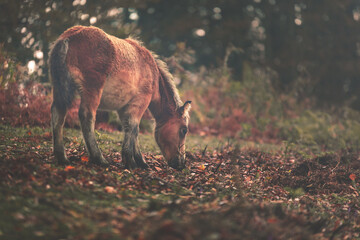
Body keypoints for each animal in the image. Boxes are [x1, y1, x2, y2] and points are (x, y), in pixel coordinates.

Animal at [49, 25, 193, 170]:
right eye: (184, 130)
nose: (182, 163)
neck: (154, 75)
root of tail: (68, 37)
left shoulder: (124, 109)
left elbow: (131, 130)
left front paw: (139, 160)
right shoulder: (138, 104)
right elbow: (133, 129)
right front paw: (130, 161)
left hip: (60, 89)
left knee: (58, 115)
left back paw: (62, 157)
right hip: (92, 92)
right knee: (87, 117)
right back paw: (99, 158)